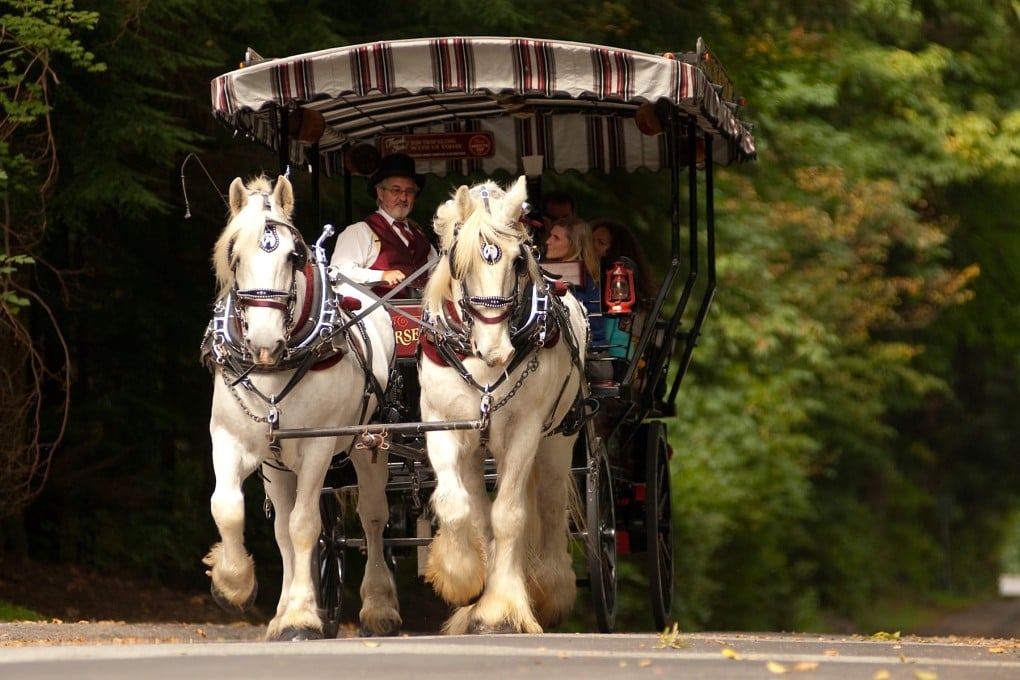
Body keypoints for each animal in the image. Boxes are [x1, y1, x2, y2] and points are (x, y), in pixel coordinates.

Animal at [201, 175, 400, 640]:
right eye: (235, 254)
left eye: (293, 257)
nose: (263, 342)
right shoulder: (230, 440)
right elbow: (229, 508)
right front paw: (233, 584)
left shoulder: (317, 447)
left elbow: (306, 525)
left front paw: (302, 617)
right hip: (277, 465)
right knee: (281, 528)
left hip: (370, 444)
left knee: (372, 516)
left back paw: (378, 606)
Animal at [418, 176, 589, 634]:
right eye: (460, 266)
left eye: (517, 261)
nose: (497, 350)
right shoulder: (443, 425)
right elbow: (457, 506)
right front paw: (463, 581)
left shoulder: (525, 429)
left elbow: (510, 515)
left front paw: (501, 609)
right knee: (478, 509)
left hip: (557, 439)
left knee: (550, 505)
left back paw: (549, 591)